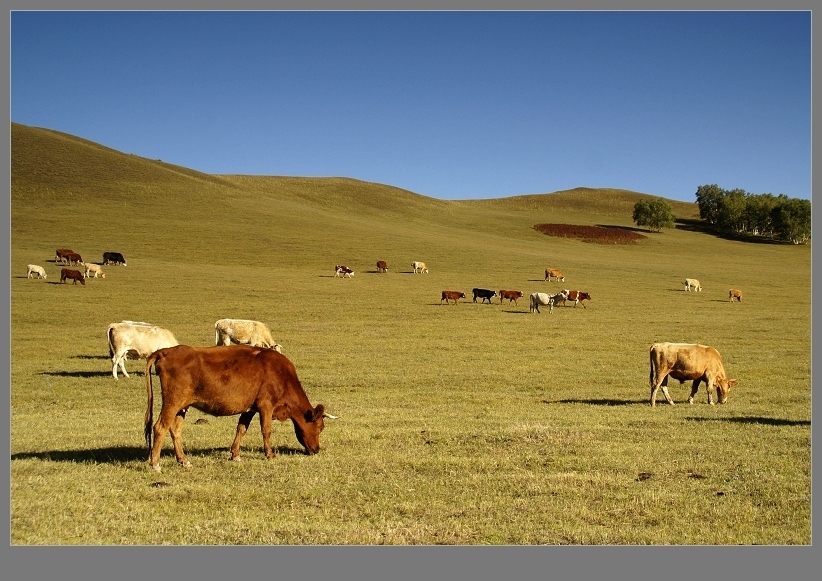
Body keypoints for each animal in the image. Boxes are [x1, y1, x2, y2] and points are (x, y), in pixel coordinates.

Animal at [143, 344, 336, 472]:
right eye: (320, 428)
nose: (316, 450)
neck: (281, 375)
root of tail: (166, 351)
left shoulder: (249, 409)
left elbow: (241, 429)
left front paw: (235, 454)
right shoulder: (266, 405)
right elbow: (266, 430)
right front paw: (270, 454)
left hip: (182, 406)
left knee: (175, 430)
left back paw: (183, 460)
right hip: (172, 402)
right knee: (160, 427)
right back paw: (155, 464)